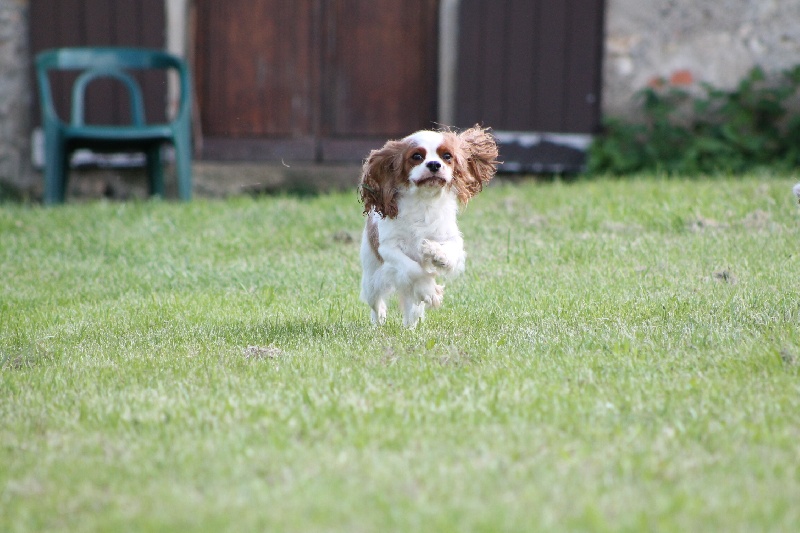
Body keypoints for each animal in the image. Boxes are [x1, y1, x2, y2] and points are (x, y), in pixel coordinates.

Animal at [358, 127, 496, 326]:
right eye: (417, 156)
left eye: (447, 156)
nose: (434, 164)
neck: (424, 201)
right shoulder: (388, 248)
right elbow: (413, 268)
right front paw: (431, 291)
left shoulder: (451, 238)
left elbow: (450, 251)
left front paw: (437, 253)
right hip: (372, 280)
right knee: (376, 303)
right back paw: (379, 320)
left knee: (413, 309)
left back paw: (410, 326)